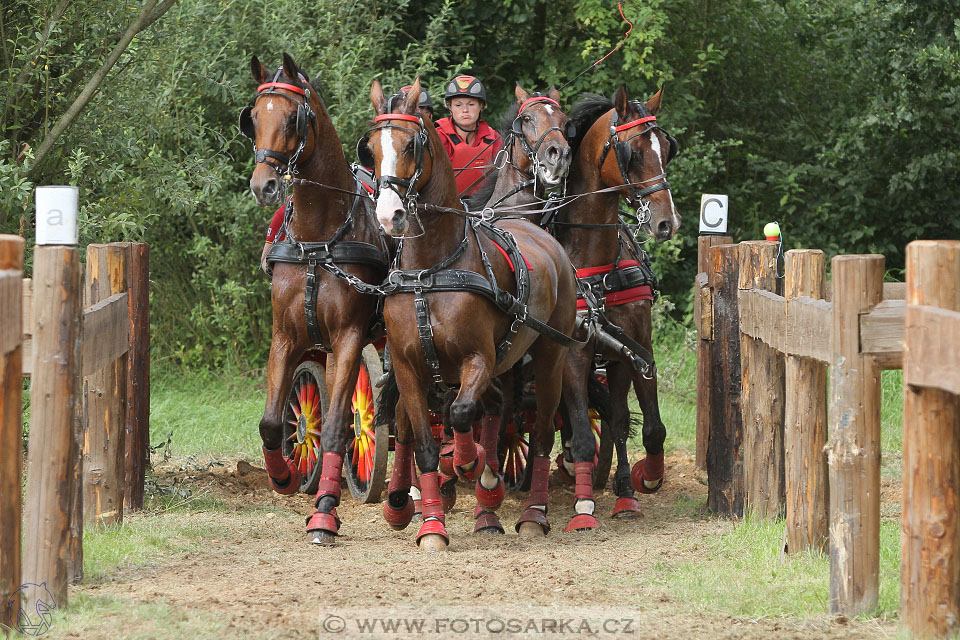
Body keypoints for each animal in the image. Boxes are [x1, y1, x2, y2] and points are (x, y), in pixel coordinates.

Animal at [240, 53, 390, 544]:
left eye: (294, 118)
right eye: (253, 117)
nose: (264, 185)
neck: (317, 239)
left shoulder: (348, 338)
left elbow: (340, 425)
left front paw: (326, 511)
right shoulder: (285, 336)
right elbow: (273, 422)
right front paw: (285, 475)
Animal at [364, 79, 580, 552]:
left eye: (411, 144)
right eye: (370, 148)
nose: (389, 215)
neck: (431, 270)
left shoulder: (477, 359)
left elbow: (463, 414)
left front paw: (471, 468)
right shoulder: (406, 367)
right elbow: (424, 442)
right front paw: (431, 524)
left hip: (551, 356)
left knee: (539, 433)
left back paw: (530, 511)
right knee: (484, 412)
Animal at [556, 85, 684, 516]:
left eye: (666, 148)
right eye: (634, 152)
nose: (667, 222)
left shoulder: (635, 347)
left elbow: (647, 426)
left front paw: (640, 481)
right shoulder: (573, 354)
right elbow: (582, 431)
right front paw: (583, 503)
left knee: (614, 418)